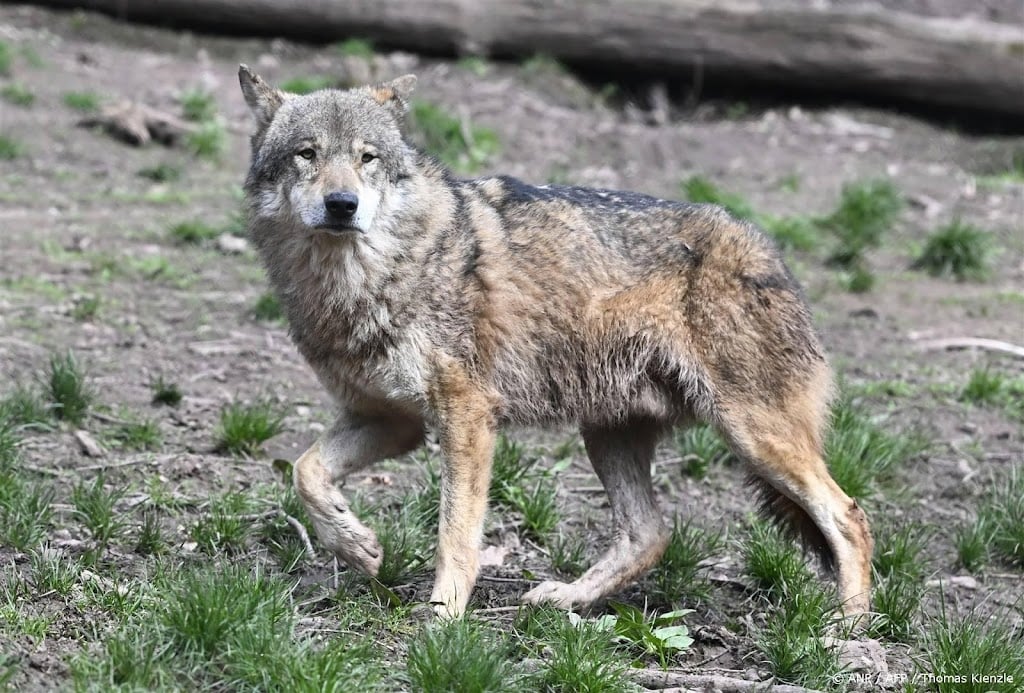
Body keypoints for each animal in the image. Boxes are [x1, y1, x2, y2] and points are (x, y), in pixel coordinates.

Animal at [239, 63, 872, 618]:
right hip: (609, 432)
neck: (365, 278)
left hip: (752, 435)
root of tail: (769, 251)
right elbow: (305, 472)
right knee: (650, 533)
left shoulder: (466, 416)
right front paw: (357, 545)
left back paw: (845, 632)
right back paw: (567, 598)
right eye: (307, 154)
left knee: (849, 517)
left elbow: (455, 534)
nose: (341, 204)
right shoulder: (391, 420)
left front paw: (442, 619)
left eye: (366, 158)